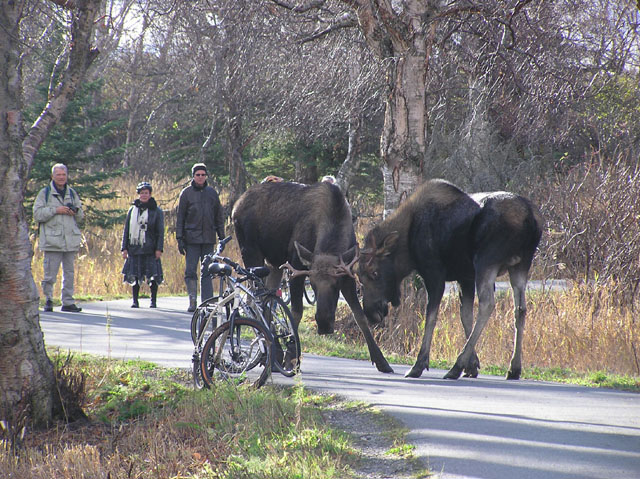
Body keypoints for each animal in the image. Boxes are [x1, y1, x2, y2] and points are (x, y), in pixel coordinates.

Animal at [234, 180, 396, 376]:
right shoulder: (296, 267)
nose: (324, 324)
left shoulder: (347, 275)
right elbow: (296, 313)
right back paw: (274, 356)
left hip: (274, 264)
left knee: (267, 302)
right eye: (312, 284)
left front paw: (382, 361)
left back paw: (274, 355)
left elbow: (360, 316)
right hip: (251, 252)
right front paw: (291, 359)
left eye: (336, 284)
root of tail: (236, 204)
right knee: (254, 300)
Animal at [358, 180, 544, 382]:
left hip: (486, 261)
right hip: (520, 265)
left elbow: (431, 317)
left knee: (487, 304)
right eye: (359, 277)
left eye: (374, 273)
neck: (408, 248)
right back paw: (513, 368)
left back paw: (456, 367)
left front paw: (419, 365)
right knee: (520, 309)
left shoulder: (434, 274)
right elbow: (465, 316)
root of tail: (531, 219)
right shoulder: (465, 277)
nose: (370, 312)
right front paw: (473, 365)